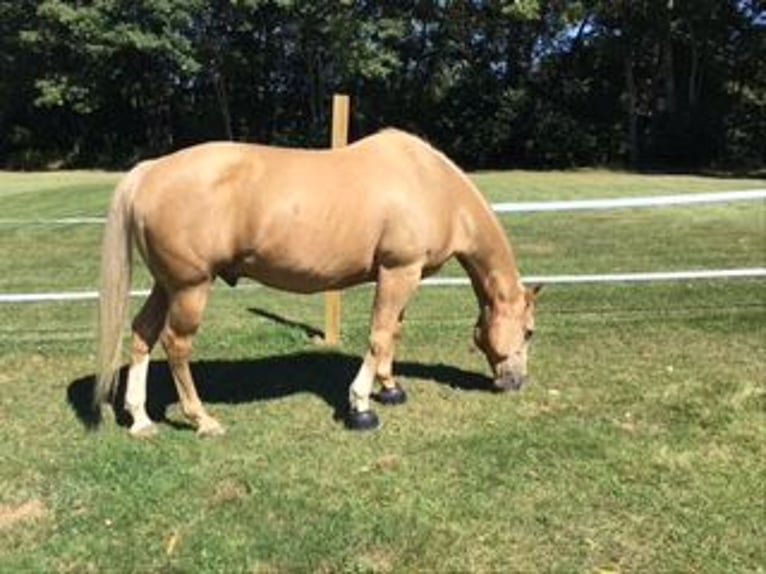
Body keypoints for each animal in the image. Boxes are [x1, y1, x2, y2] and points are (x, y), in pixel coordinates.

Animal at [95, 129, 540, 436]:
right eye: (530, 331)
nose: (516, 382)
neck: (430, 183)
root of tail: (149, 172)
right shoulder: (399, 271)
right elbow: (379, 335)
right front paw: (361, 406)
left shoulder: (404, 276)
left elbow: (393, 333)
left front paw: (390, 387)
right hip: (190, 288)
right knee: (176, 344)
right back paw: (201, 419)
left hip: (166, 285)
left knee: (142, 332)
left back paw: (140, 419)